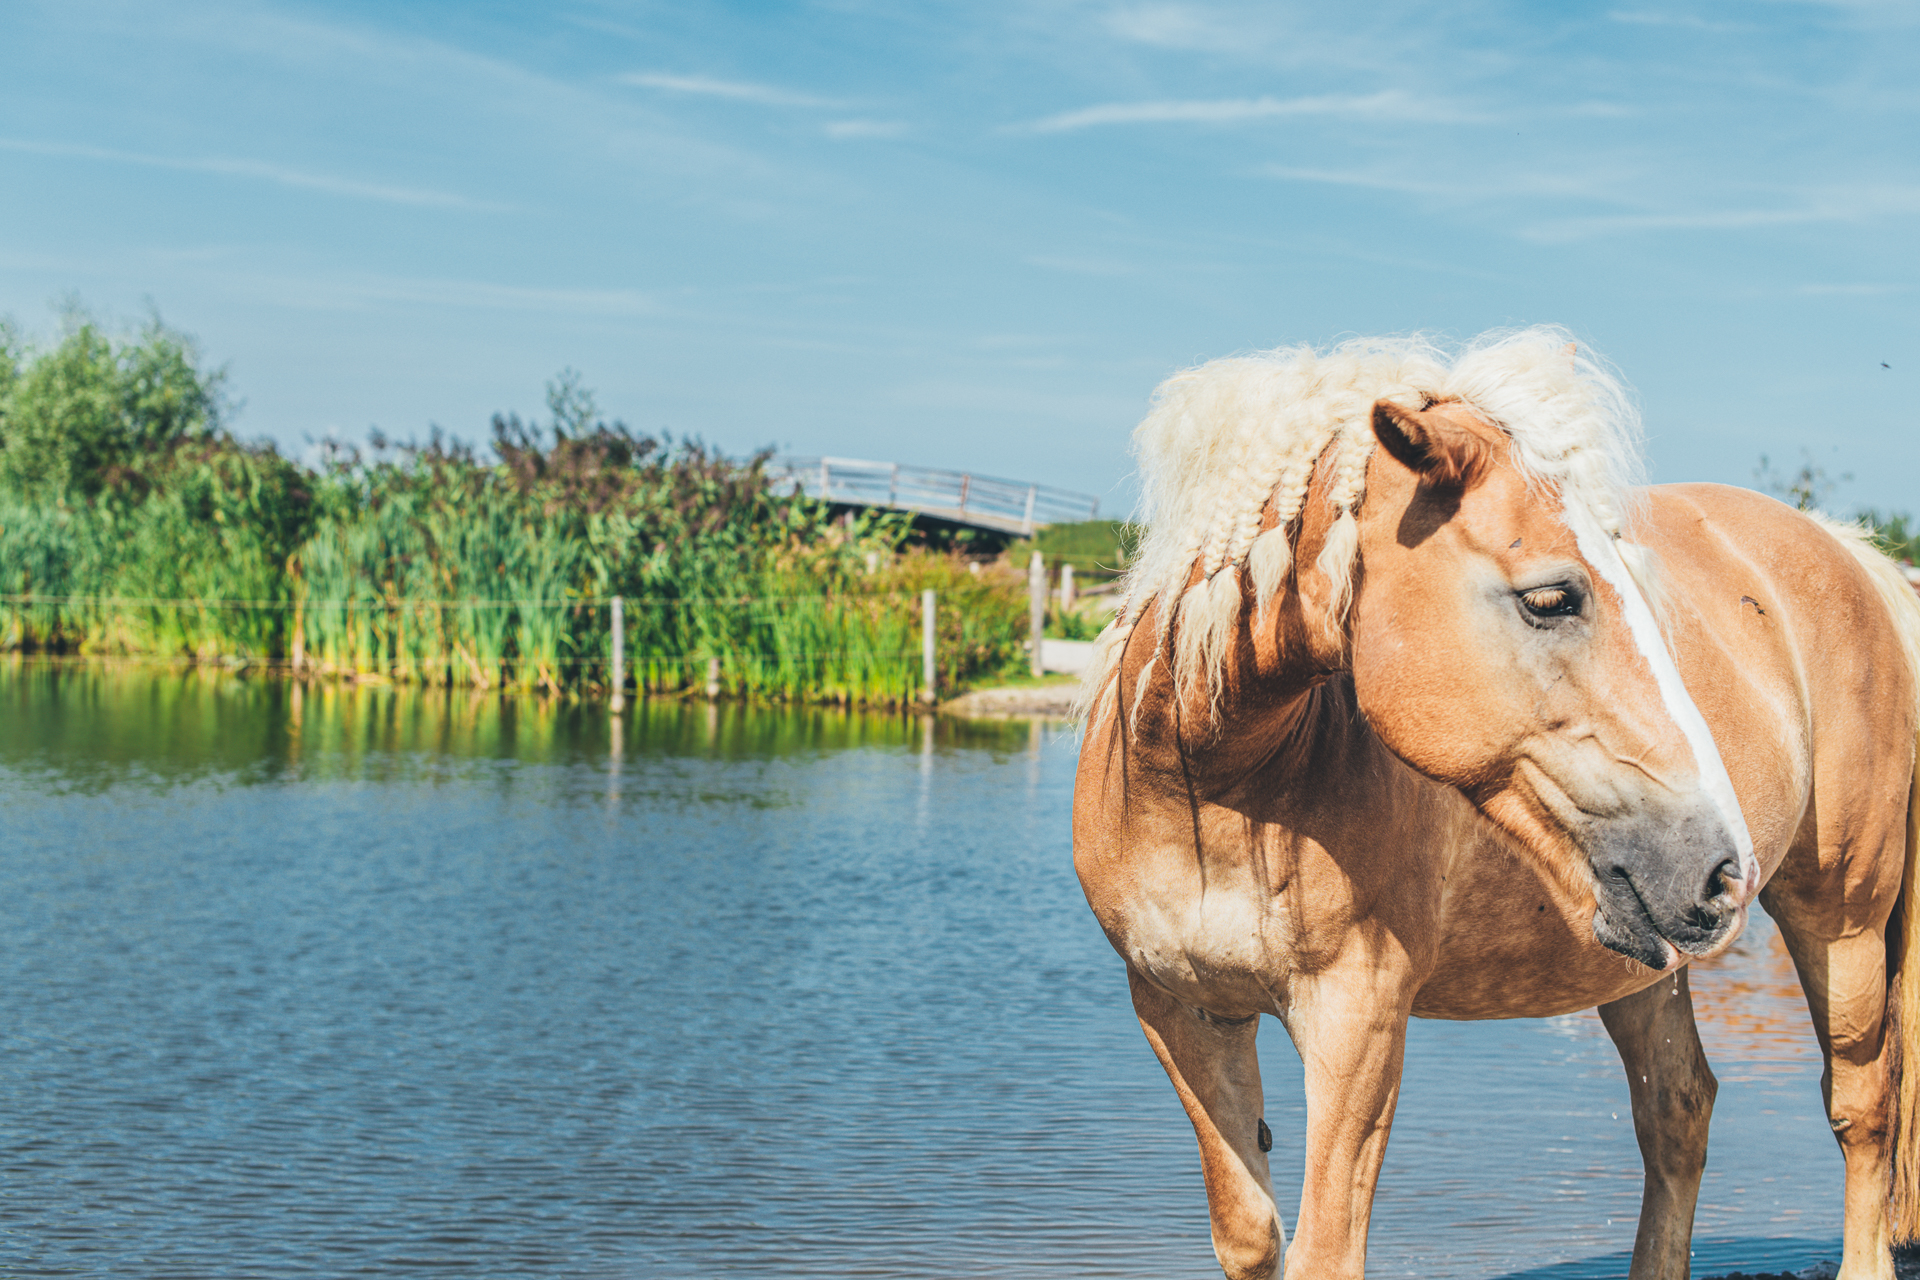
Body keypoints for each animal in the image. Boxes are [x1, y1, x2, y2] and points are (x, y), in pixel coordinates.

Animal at [1075, 330, 1920, 1280]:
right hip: (1640, 959)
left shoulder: (1358, 1022)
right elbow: (1252, 1238)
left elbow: (1325, 1250)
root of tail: (1852, 555)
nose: (1721, 865)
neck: (1219, 788)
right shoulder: (1180, 1009)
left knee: (1861, 1105)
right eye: (1552, 597)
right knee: (1678, 1111)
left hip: (1841, 917)